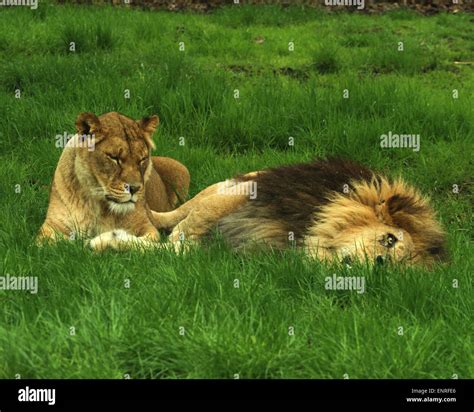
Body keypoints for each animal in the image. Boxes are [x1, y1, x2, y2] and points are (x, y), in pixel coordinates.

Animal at [37, 111, 189, 249]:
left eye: (142, 159)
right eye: (114, 158)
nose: (134, 189)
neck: (97, 204)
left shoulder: (147, 227)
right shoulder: (51, 226)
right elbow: (49, 243)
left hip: (182, 169)